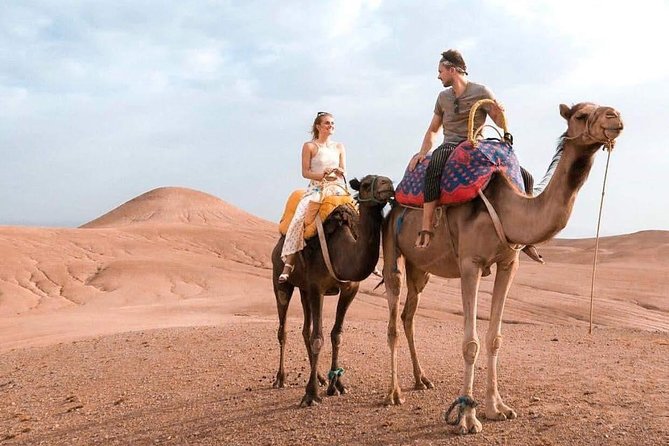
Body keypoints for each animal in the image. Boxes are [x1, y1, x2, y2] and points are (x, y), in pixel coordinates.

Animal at [271, 174, 394, 407]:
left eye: (388, 181)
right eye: (366, 184)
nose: (388, 184)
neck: (342, 249)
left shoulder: (349, 289)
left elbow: (336, 335)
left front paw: (336, 385)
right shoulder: (316, 287)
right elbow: (318, 338)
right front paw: (311, 395)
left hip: (303, 290)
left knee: (305, 329)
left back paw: (320, 377)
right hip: (280, 280)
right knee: (284, 329)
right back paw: (280, 379)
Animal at [381, 103, 623, 434]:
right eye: (581, 115)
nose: (615, 117)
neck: (507, 208)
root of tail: (395, 202)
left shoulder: (509, 263)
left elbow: (495, 338)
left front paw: (497, 408)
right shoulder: (470, 264)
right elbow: (470, 343)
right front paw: (467, 417)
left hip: (421, 268)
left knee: (409, 316)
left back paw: (421, 380)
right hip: (391, 244)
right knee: (393, 316)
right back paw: (393, 393)